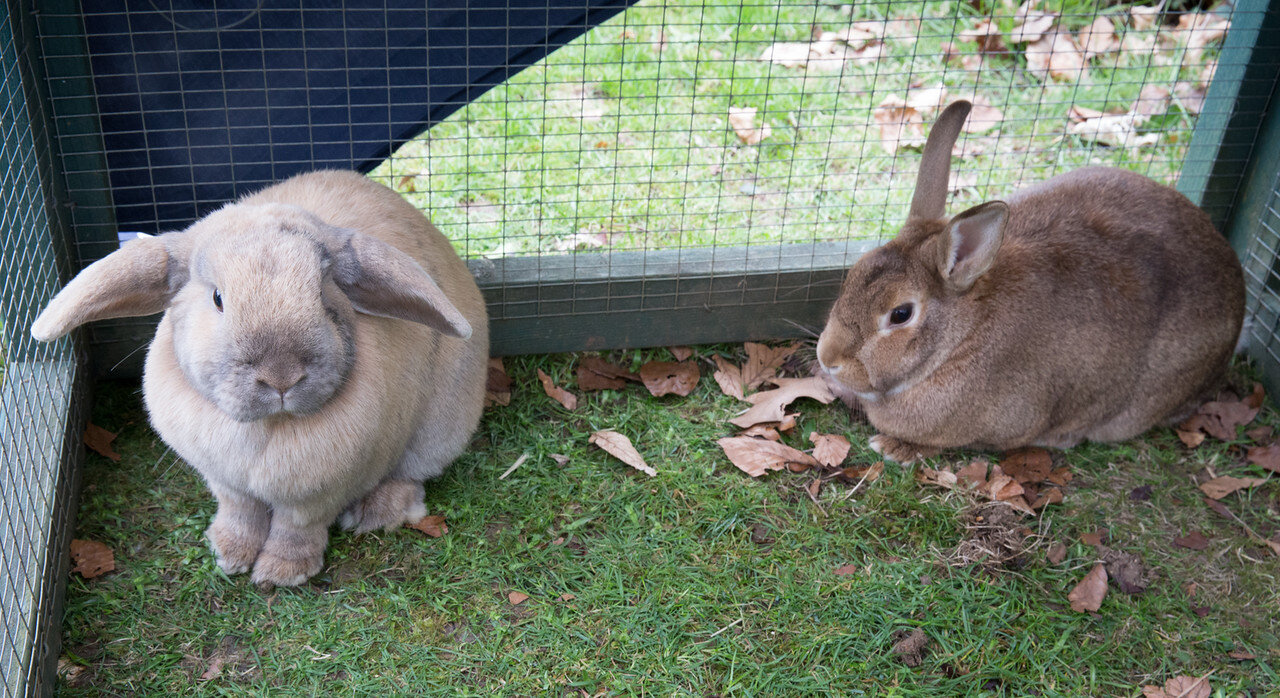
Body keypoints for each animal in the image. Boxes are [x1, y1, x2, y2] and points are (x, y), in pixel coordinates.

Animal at [31, 170, 489, 586]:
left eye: (323, 294)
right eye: (218, 298)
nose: (281, 376)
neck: (267, 427)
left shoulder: (316, 496)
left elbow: (296, 528)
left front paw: (281, 573)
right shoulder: (226, 483)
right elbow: (241, 514)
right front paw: (228, 554)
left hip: (439, 429)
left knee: (411, 474)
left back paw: (376, 513)